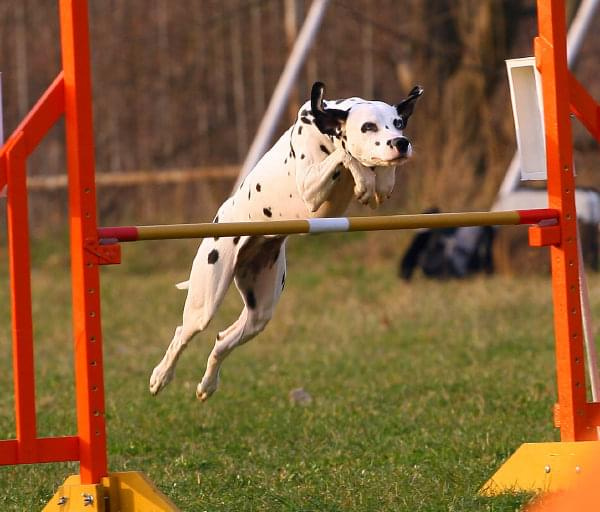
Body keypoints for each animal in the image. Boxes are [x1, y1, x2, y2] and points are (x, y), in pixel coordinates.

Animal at [149, 82, 422, 400]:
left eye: (398, 123)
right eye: (368, 127)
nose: (401, 142)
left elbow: (374, 174)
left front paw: (381, 180)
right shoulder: (310, 187)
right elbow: (346, 155)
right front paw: (364, 177)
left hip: (260, 312)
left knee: (221, 340)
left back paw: (208, 385)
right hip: (205, 300)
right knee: (183, 332)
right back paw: (161, 376)